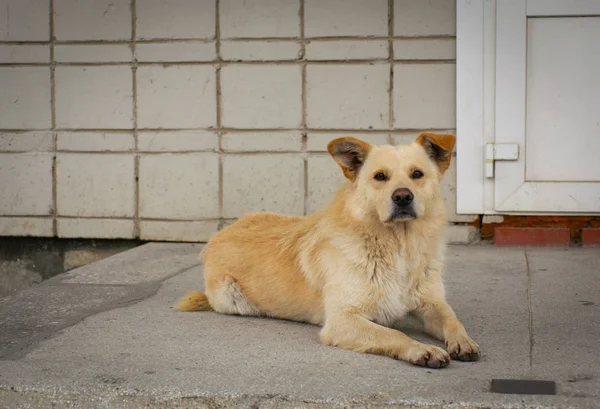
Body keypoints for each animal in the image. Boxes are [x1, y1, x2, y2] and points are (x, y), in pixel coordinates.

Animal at [176, 132, 480, 368]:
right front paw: (421, 349)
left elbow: (452, 319)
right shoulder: (341, 320)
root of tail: (222, 231)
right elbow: (394, 335)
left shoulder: (431, 303)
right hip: (232, 299)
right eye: (380, 177)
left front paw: (463, 340)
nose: (403, 197)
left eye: (417, 174)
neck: (399, 246)